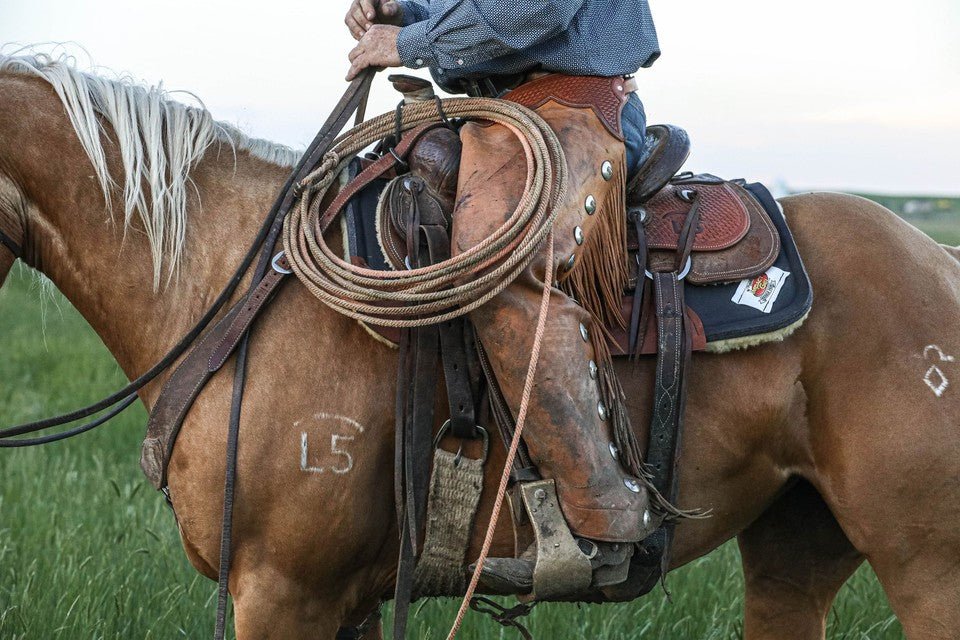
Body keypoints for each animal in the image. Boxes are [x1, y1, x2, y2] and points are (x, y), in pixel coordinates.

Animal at [1, 56, 960, 640]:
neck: (229, 290)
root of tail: (939, 260)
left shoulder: (281, 591)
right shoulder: (341, 596)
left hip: (926, 563)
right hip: (796, 549)